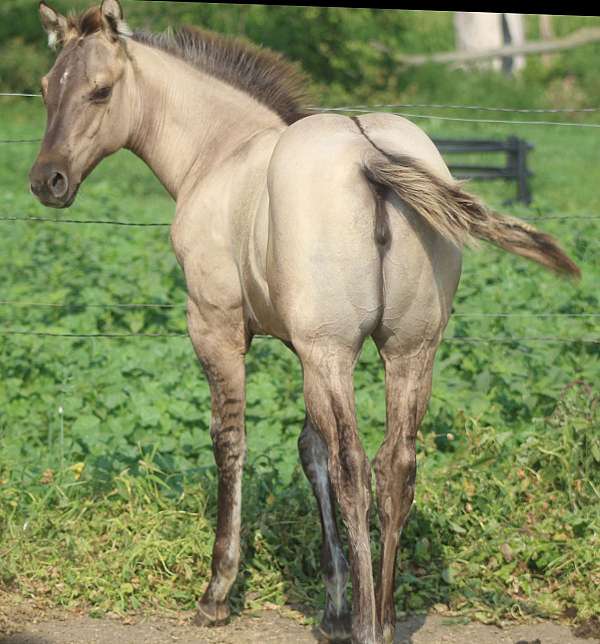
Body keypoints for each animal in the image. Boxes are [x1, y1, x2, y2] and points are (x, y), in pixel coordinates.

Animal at [29, 2, 580, 640]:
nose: (47, 181)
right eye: (46, 88)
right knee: (395, 467)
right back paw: (380, 616)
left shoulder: (218, 328)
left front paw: (218, 592)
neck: (222, 152)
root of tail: (370, 157)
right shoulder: (304, 348)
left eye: (100, 91)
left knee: (355, 469)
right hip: (408, 351)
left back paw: (368, 623)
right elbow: (309, 447)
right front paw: (333, 606)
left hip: (332, 353)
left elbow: (232, 441)